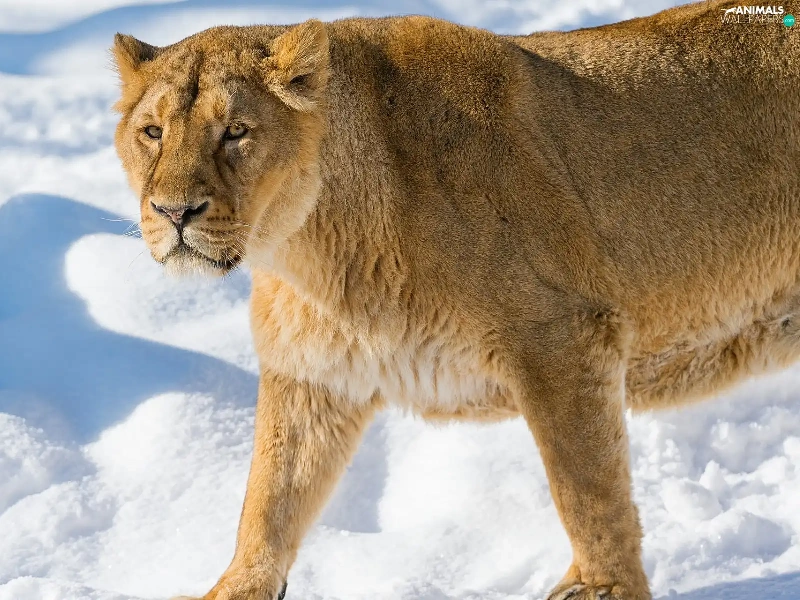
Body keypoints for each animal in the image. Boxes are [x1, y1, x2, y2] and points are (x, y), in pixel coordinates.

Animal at [111, 1, 799, 598]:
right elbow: (270, 497)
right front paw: (239, 587)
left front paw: (604, 588)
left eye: (235, 132)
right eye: (152, 132)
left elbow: (586, 487)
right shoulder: (314, 371)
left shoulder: (563, 335)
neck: (307, 249)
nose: (173, 212)